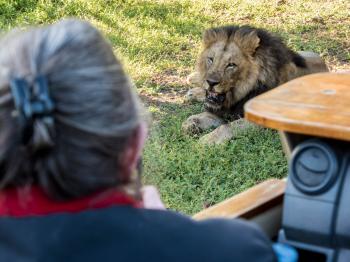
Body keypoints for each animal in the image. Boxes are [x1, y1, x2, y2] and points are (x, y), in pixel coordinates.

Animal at [183, 25, 328, 143]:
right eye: (211, 59)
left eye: (231, 65)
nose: (211, 82)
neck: (240, 92)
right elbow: (205, 115)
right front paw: (191, 123)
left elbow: (227, 127)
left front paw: (206, 140)